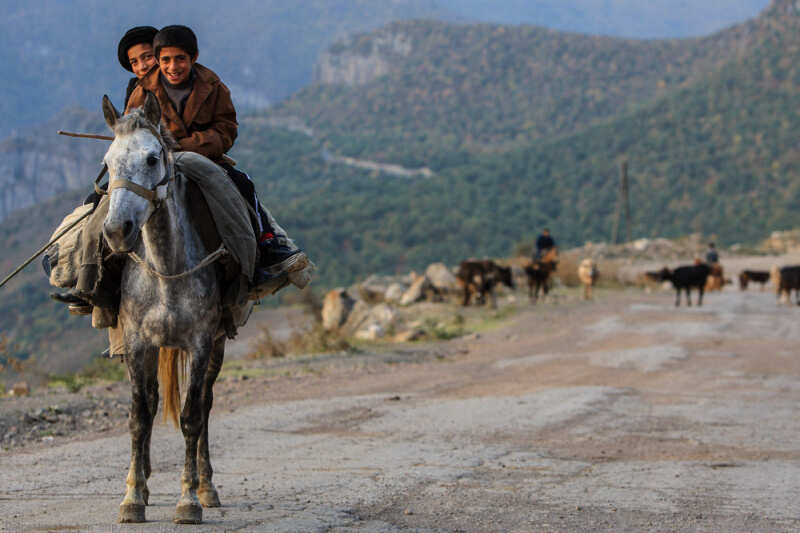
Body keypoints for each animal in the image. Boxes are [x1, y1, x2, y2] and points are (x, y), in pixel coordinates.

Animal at [100, 93, 246, 524]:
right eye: (108, 163)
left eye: (152, 159)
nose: (116, 231)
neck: (166, 271)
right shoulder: (137, 344)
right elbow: (138, 415)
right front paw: (133, 497)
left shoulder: (199, 343)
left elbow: (191, 417)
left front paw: (189, 500)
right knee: (149, 403)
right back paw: (145, 482)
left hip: (217, 346)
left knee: (206, 404)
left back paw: (207, 486)